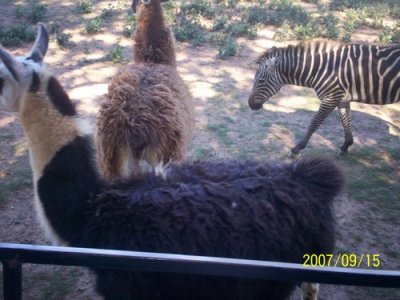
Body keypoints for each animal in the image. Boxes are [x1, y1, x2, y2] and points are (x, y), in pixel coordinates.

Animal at [248, 40, 400, 156]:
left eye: (261, 80)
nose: (250, 104)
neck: (320, 70)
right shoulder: (342, 98)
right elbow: (346, 121)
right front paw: (345, 146)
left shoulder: (330, 98)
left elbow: (313, 124)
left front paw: (297, 148)